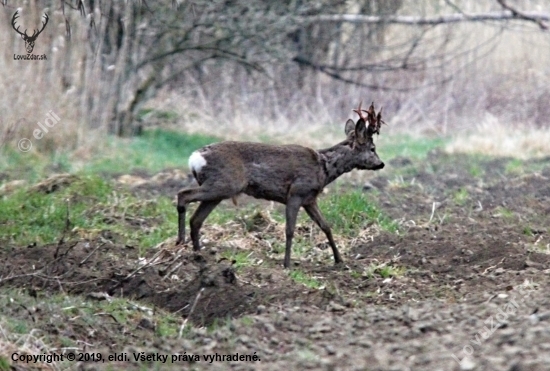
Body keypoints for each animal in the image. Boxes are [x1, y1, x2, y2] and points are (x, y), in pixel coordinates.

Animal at [179, 101, 386, 268]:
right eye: (372, 148)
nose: (381, 164)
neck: (323, 168)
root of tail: (194, 158)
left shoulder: (310, 199)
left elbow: (325, 226)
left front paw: (339, 260)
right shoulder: (295, 193)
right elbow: (289, 230)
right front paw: (287, 263)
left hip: (219, 190)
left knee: (196, 219)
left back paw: (198, 253)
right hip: (224, 183)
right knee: (183, 194)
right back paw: (181, 241)